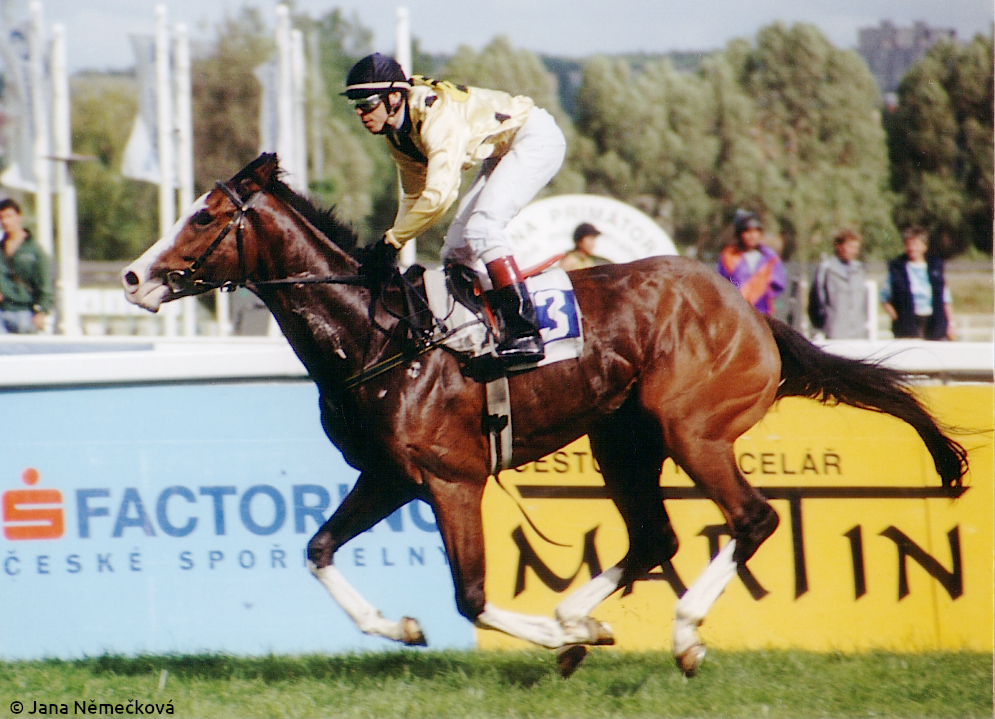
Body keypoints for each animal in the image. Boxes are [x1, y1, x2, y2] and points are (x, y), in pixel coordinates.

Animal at [121, 154, 967, 678]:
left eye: (204, 217)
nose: (132, 276)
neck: (378, 334)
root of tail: (751, 314)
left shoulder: (451, 479)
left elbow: (470, 594)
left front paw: (559, 633)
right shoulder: (390, 476)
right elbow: (318, 547)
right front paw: (404, 627)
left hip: (692, 428)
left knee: (750, 518)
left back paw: (679, 634)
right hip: (622, 438)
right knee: (654, 534)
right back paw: (582, 617)